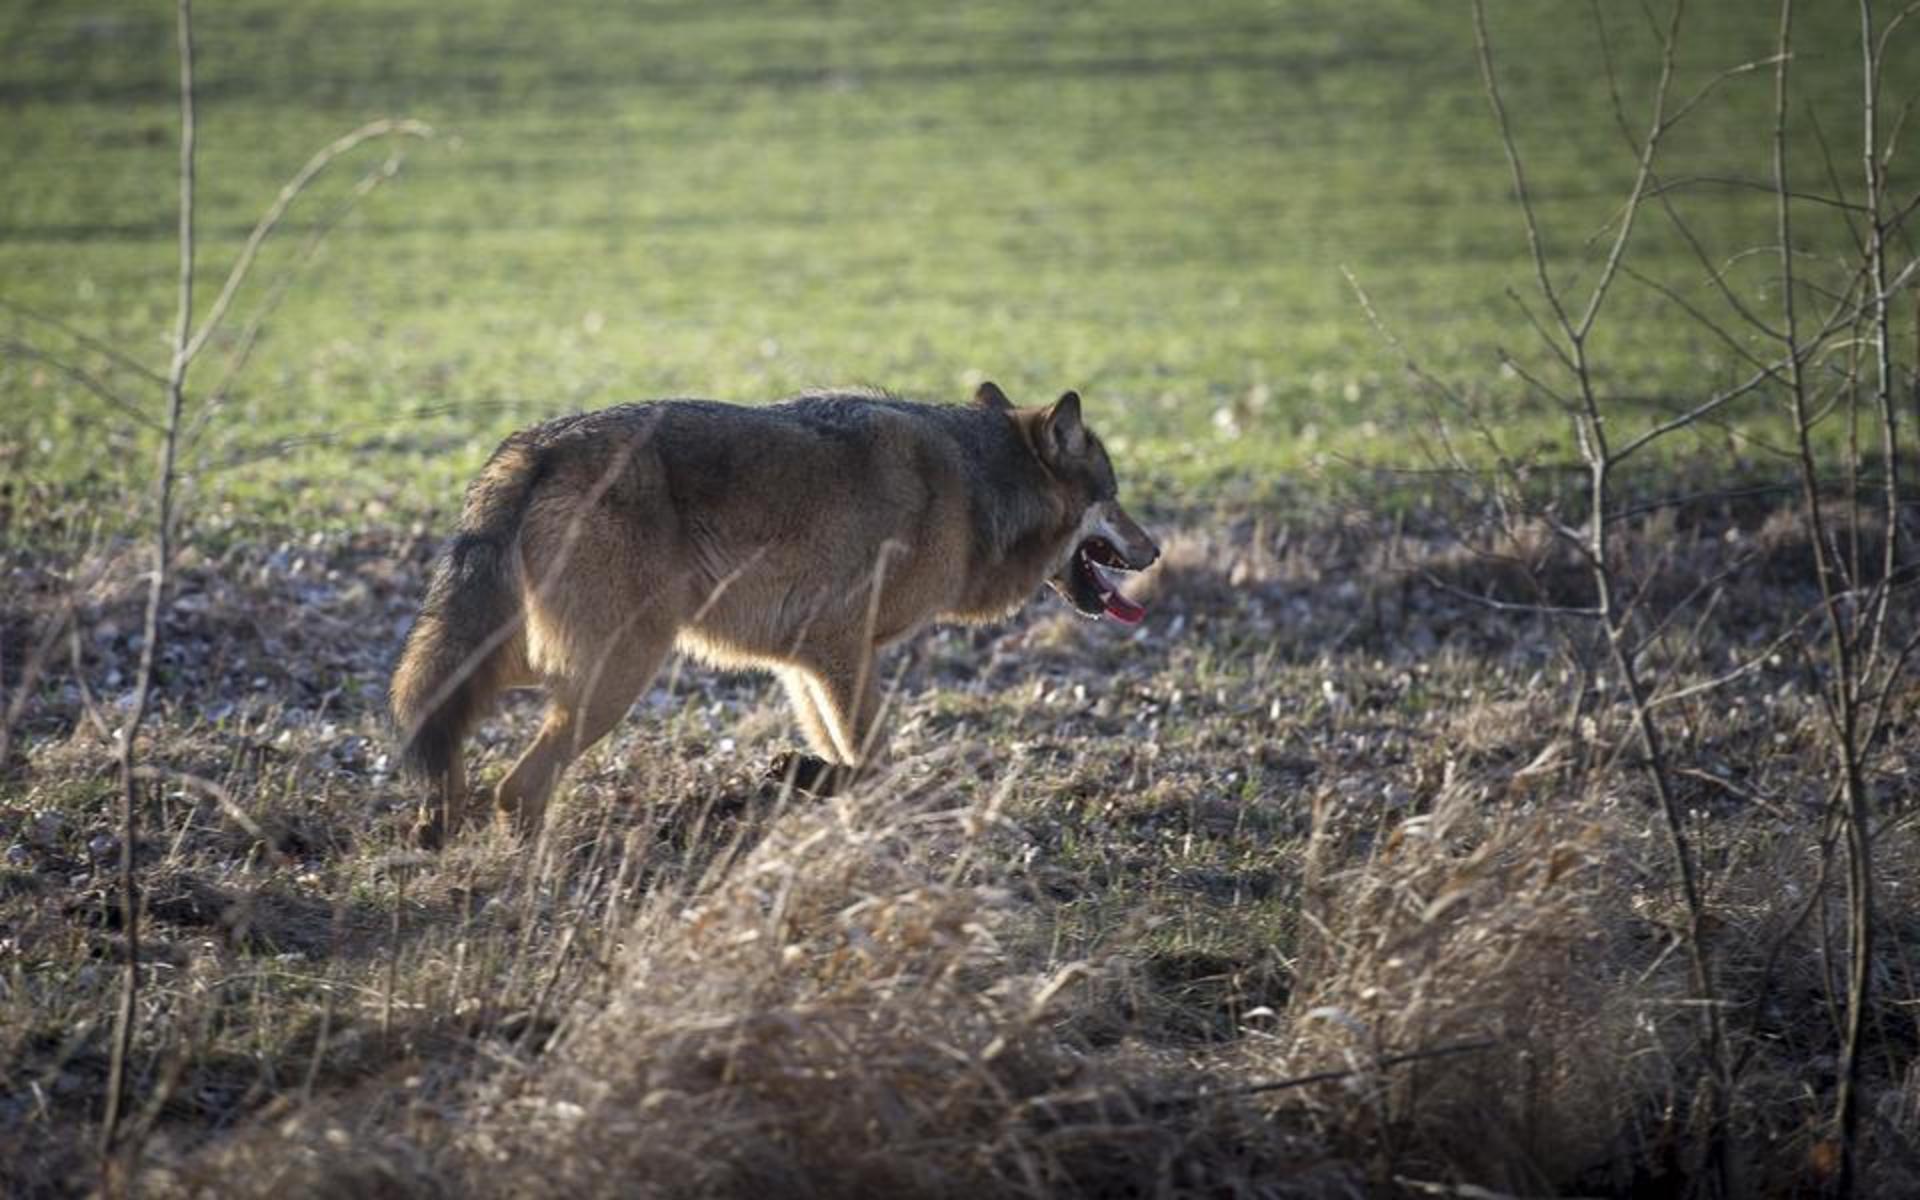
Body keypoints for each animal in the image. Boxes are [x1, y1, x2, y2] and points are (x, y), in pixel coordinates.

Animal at [389, 382, 1152, 840]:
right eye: (1115, 497)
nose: (1156, 551)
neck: (972, 487)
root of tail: (536, 446)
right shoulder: (840, 649)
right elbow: (873, 759)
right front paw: (815, 779)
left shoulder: (810, 662)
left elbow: (851, 753)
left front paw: (815, 784)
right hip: (619, 675)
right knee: (516, 787)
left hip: (557, 665)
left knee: (435, 710)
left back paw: (437, 820)